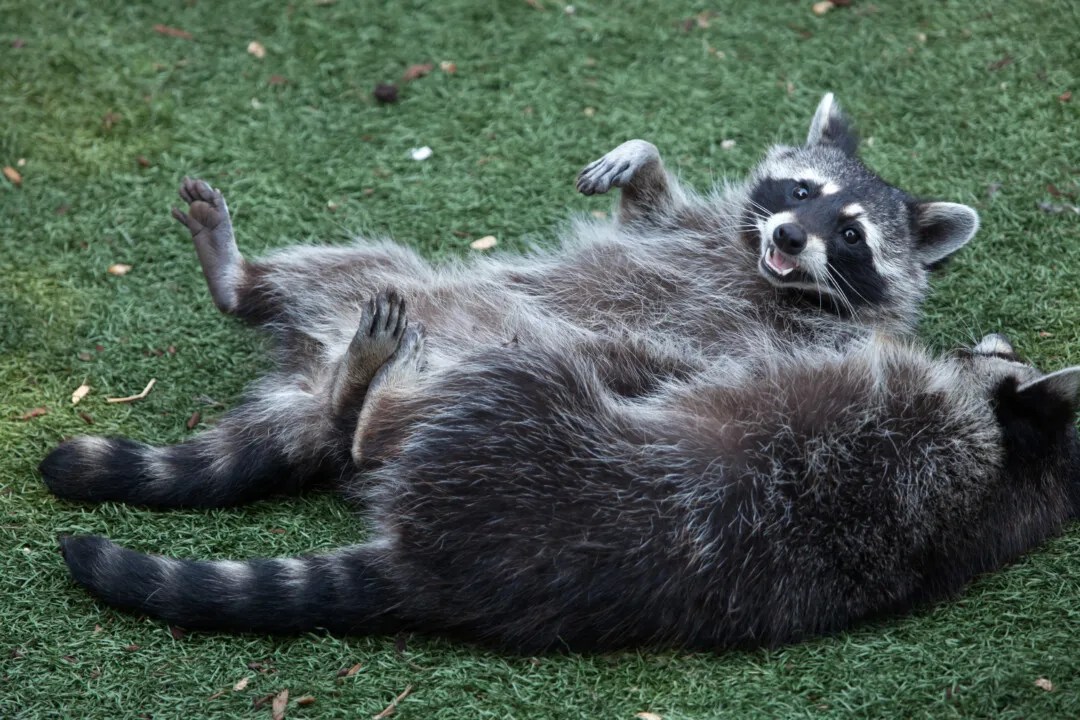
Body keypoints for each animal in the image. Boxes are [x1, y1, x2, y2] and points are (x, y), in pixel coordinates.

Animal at [40, 94, 980, 509]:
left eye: (850, 236)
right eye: (800, 189)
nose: (788, 237)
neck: (765, 276)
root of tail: (310, 374)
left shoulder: (793, 340)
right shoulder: (702, 230)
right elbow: (649, 212)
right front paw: (639, 155)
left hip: (507, 364)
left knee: (394, 425)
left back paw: (360, 399)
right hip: (382, 281)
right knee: (352, 264)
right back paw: (243, 280)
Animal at [56, 330, 1080, 651]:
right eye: (998, 347)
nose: (984, 341)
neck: (1009, 473)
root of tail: (426, 566)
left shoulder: (895, 411)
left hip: (517, 416)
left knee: (392, 427)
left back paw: (362, 387)